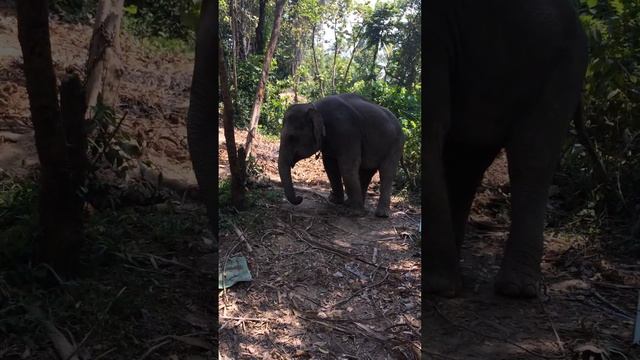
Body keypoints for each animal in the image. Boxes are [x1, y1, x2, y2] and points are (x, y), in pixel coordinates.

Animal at [276, 93, 404, 217]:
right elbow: (330, 166)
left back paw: (381, 214)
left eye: (292, 138)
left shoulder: (347, 132)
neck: (315, 107)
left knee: (386, 173)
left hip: (396, 145)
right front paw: (335, 201)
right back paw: (350, 203)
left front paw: (354, 213)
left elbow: (347, 167)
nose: (300, 198)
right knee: (366, 173)